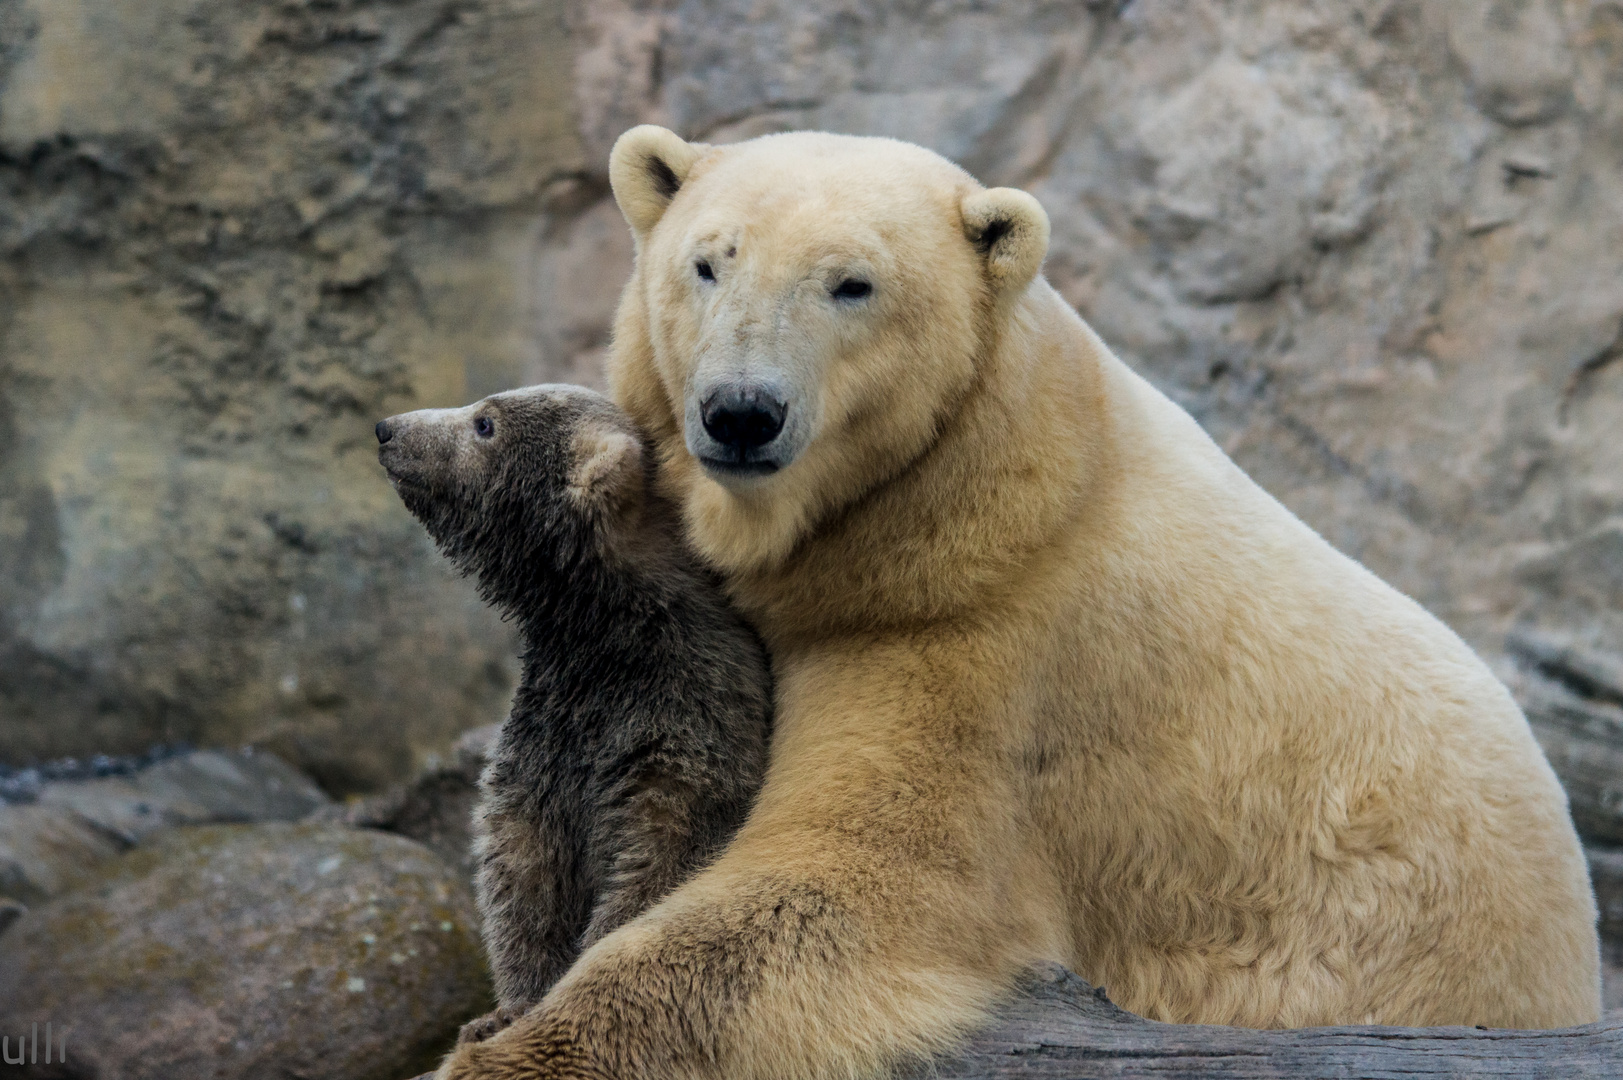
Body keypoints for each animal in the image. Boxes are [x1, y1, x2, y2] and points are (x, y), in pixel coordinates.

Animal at [438, 132, 1603, 1078]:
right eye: (707, 260)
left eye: (852, 284)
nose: (740, 412)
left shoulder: (982, 654)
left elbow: (847, 895)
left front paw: (503, 1055)